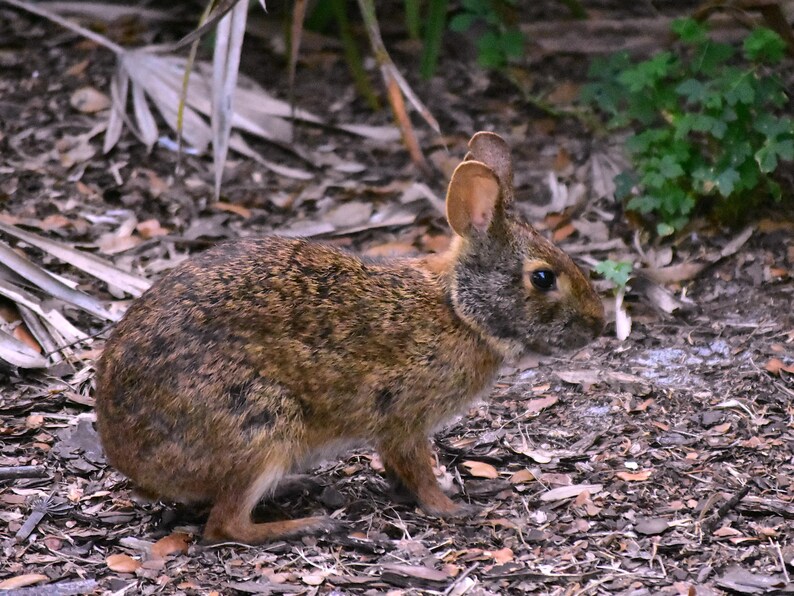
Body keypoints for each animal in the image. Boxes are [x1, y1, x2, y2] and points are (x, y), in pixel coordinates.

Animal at [94, 131, 604, 545]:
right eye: (543, 278)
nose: (598, 324)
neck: (459, 309)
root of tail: (129, 459)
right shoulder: (404, 418)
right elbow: (416, 467)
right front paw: (451, 508)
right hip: (258, 427)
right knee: (225, 526)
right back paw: (307, 524)